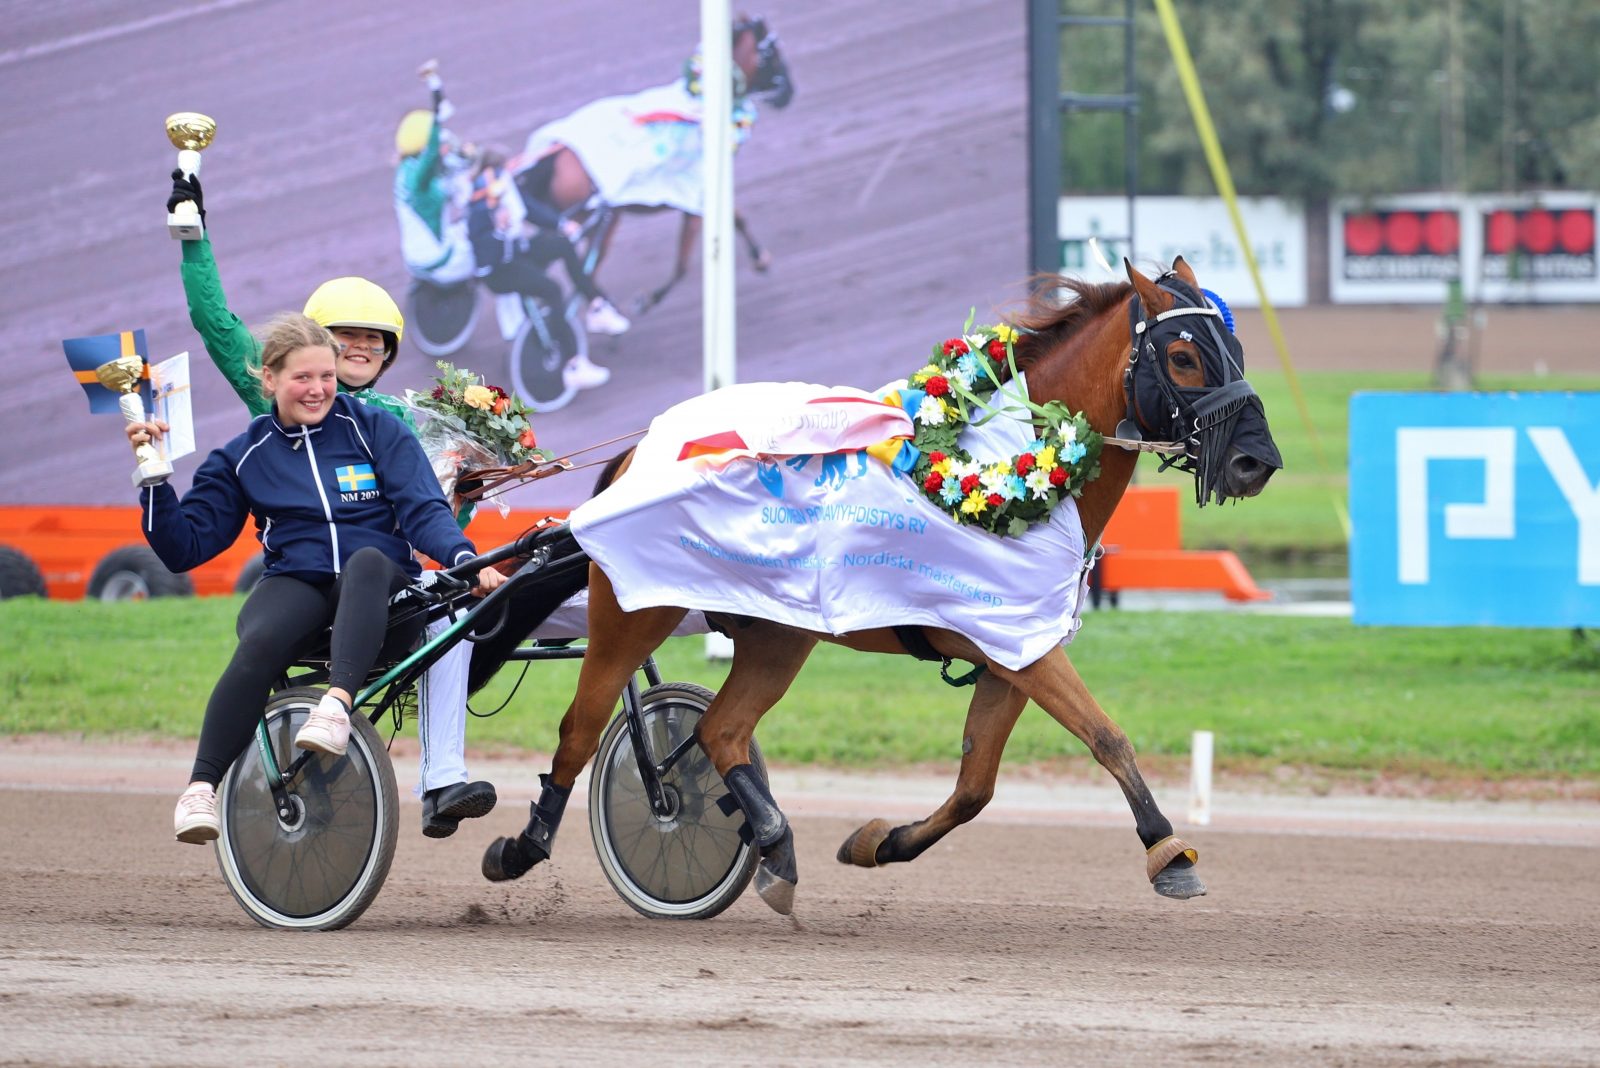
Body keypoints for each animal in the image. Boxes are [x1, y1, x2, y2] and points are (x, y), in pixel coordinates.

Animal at [480, 255, 1280, 908]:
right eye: (1183, 355)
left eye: (1236, 349)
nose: (1256, 462)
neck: (1016, 464)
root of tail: (638, 452)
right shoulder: (1017, 641)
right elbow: (1108, 737)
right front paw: (1169, 849)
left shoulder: (1011, 649)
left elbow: (976, 786)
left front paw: (881, 842)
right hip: (634, 611)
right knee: (581, 731)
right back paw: (525, 845)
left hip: (778, 633)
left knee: (721, 729)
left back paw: (773, 841)